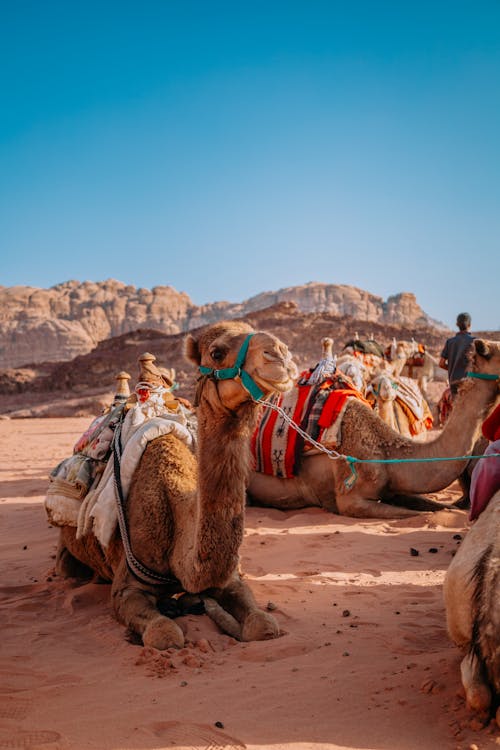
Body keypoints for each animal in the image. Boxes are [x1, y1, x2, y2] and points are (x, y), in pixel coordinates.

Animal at [55, 324, 296, 652]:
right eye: (216, 352)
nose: (281, 355)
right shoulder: (127, 586)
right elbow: (165, 634)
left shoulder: (230, 580)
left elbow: (264, 625)